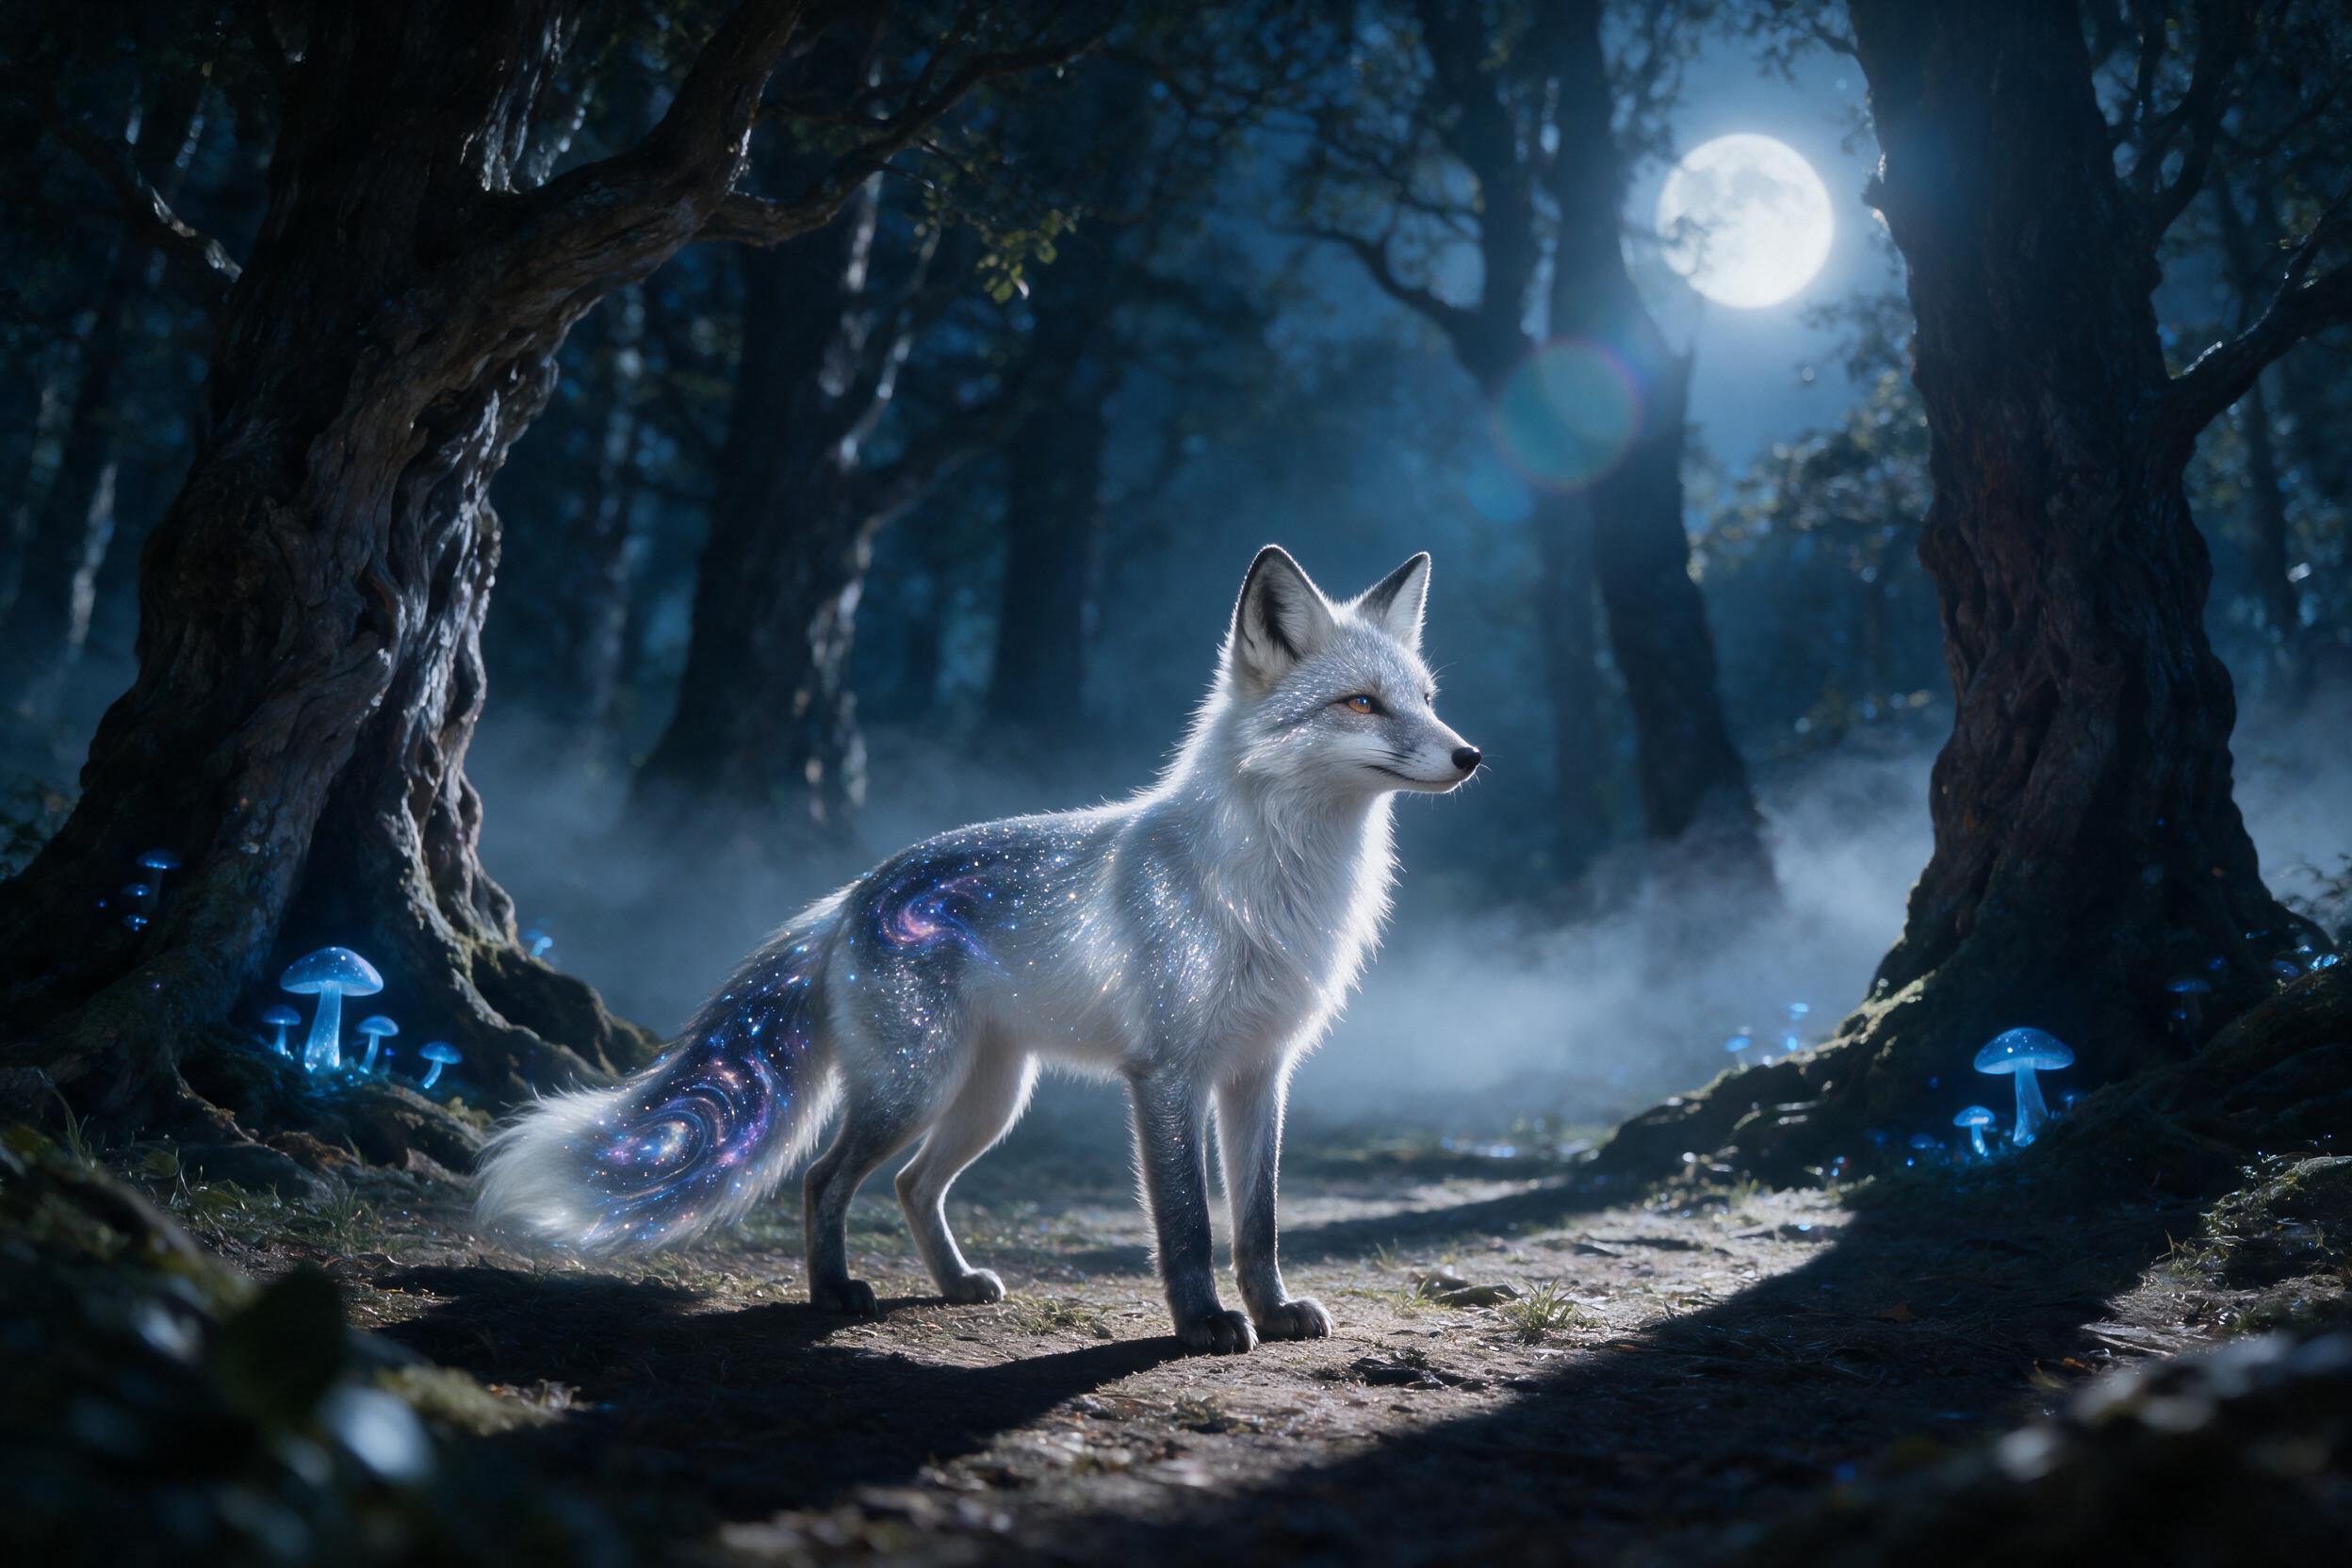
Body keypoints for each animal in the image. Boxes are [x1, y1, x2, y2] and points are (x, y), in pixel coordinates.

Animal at [476, 545, 1481, 1353]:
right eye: (1362, 703)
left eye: (1428, 700)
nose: (1471, 755)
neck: (1269, 889)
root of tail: (851, 893)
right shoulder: (1168, 1074)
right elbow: (1190, 1224)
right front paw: (1201, 1325)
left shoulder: (1260, 1072)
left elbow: (1260, 1222)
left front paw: (1271, 1313)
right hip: (916, 1088)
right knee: (825, 1179)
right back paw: (832, 1293)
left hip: (991, 1099)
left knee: (913, 1186)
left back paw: (955, 1284)